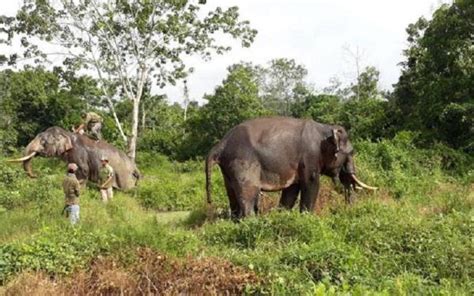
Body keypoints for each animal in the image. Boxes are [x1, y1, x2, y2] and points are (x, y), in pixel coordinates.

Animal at [8, 126, 139, 188]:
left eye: (43, 142)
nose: (36, 175)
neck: (67, 134)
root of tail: (136, 168)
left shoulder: (79, 153)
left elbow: (84, 171)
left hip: (124, 177)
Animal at [206, 117, 376, 219]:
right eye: (351, 153)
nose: (348, 210)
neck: (324, 128)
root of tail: (221, 144)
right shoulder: (310, 157)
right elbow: (311, 184)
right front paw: (308, 218)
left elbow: (291, 191)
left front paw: (283, 216)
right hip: (243, 163)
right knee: (248, 194)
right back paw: (252, 222)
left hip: (228, 170)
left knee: (232, 196)